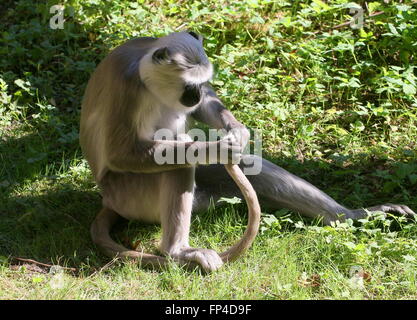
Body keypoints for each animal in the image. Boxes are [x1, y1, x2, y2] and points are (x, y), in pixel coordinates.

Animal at [79, 31, 414, 272]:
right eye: (189, 87)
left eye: (202, 85)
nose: (196, 95)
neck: (145, 75)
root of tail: (107, 197)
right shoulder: (127, 87)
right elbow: (120, 152)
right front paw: (221, 147)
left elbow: (212, 112)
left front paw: (236, 132)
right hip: (132, 194)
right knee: (178, 163)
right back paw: (177, 251)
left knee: (248, 165)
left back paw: (350, 217)